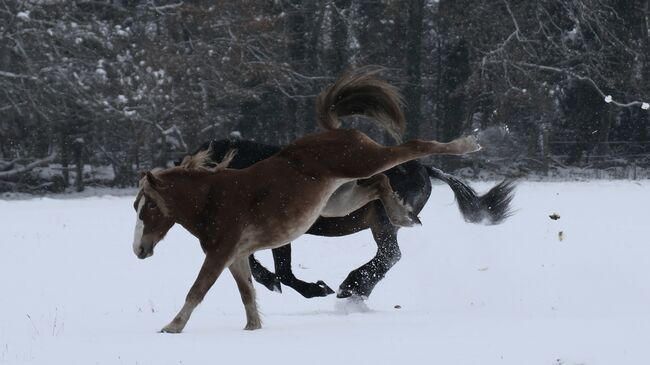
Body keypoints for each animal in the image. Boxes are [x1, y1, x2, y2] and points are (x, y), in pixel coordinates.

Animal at [132, 67, 478, 332]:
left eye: (148, 207)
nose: (138, 250)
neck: (213, 198)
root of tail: (339, 132)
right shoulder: (239, 253)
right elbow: (250, 289)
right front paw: (255, 324)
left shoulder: (225, 251)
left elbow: (201, 288)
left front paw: (171, 328)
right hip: (342, 200)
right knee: (381, 192)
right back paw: (400, 218)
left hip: (365, 167)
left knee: (412, 150)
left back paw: (466, 144)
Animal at [186, 139, 512, 298]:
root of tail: (424, 168)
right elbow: (265, 267)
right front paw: (281, 284)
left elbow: (284, 272)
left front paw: (315, 289)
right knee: (388, 256)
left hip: (383, 220)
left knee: (390, 255)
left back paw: (352, 286)